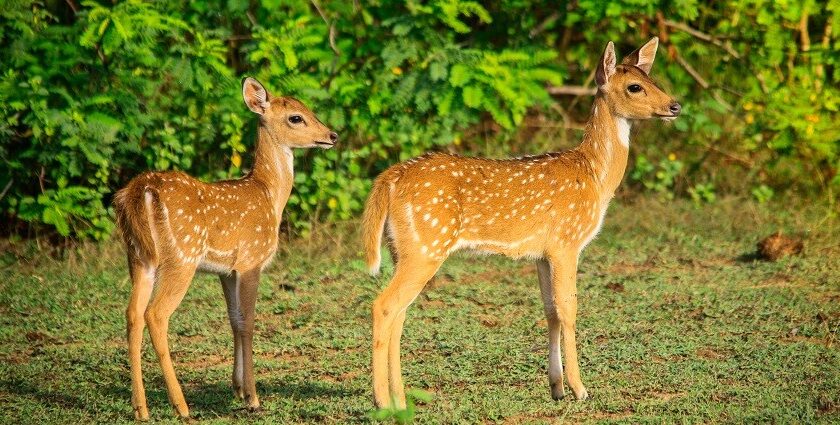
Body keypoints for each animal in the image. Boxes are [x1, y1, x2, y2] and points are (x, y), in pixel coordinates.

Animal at [115, 76, 338, 418]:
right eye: (296, 118)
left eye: (309, 110)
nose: (332, 136)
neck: (269, 195)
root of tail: (141, 191)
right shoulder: (251, 260)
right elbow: (248, 322)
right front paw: (253, 397)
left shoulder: (226, 271)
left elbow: (233, 320)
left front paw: (237, 388)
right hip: (182, 257)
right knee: (156, 314)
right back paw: (181, 406)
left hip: (139, 257)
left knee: (133, 314)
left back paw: (141, 408)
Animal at [364, 39, 680, 408]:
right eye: (634, 87)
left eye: (653, 79)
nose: (674, 105)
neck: (594, 177)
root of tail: (389, 178)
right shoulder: (566, 242)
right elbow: (569, 309)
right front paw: (580, 388)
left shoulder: (542, 254)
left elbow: (550, 311)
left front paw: (556, 387)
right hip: (426, 246)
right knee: (384, 306)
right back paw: (382, 402)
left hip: (404, 249)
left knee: (399, 312)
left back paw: (400, 400)